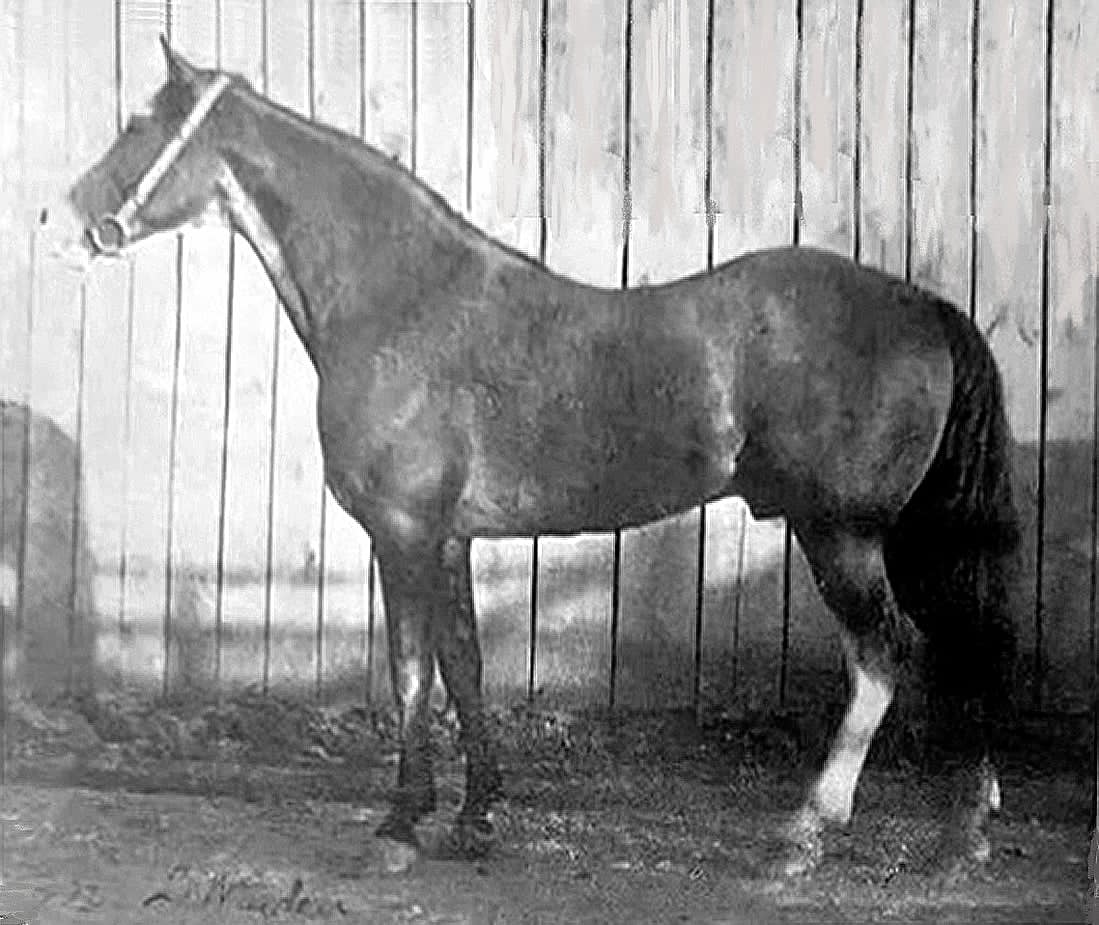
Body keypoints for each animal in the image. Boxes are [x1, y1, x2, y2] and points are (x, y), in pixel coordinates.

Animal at [66, 40, 1018, 877]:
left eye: (139, 122)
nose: (69, 217)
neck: (403, 301)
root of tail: (923, 306)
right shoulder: (448, 537)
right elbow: (463, 667)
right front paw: (473, 818)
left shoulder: (401, 533)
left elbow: (409, 673)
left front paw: (399, 826)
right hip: (900, 537)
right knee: (957, 648)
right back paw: (961, 832)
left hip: (840, 536)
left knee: (884, 656)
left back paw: (804, 833)